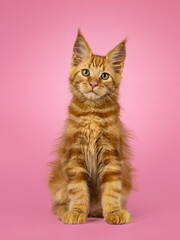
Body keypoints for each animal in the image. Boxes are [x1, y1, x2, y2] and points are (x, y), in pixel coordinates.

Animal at [48, 30, 133, 225]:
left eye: (104, 76)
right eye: (85, 72)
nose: (94, 83)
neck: (92, 114)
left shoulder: (111, 154)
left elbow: (111, 190)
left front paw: (113, 212)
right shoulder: (74, 154)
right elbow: (78, 190)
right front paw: (76, 212)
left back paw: (99, 211)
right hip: (58, 185)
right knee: (58, 204)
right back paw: (65, 210)